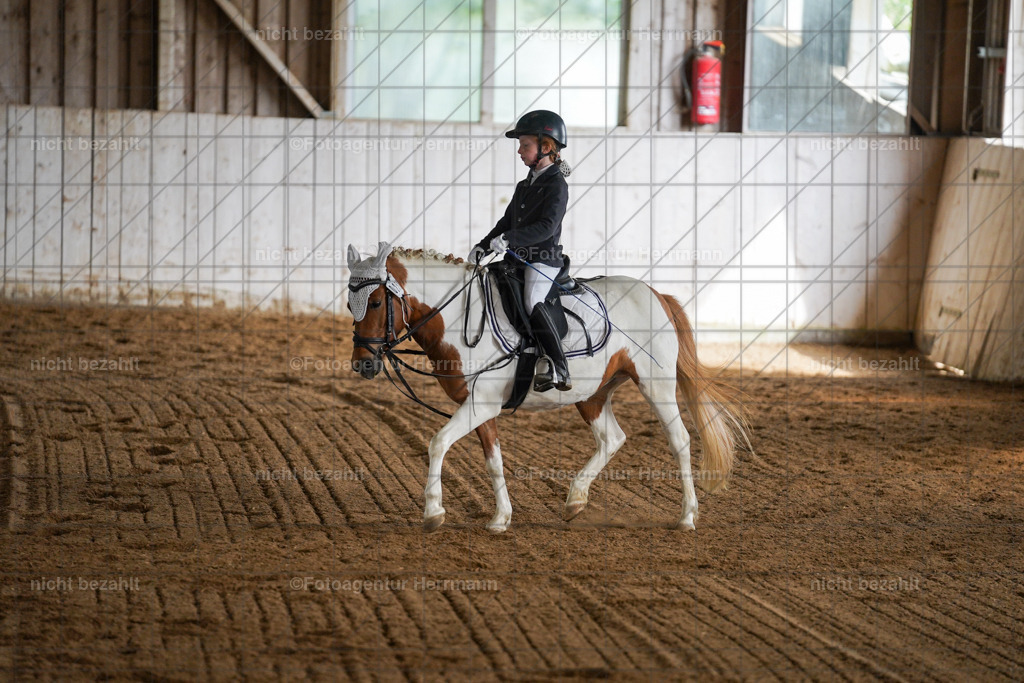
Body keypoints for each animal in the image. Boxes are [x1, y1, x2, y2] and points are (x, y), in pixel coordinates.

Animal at [346, 241, 748, 533]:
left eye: (377, 301)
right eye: (349, 304)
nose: (362, 364)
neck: (462, 318)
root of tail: (654, 294)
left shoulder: (480, 405)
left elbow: (437, 443)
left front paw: (433, 512)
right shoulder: (479, 406)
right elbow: (494, 460)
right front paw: (501, 519)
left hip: (657, 386)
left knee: (680, 440)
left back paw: (687, 516)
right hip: (592, 394)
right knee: (612, 438)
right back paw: (575, 501)